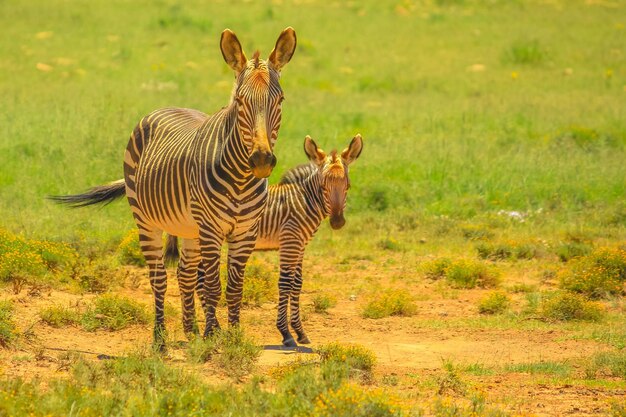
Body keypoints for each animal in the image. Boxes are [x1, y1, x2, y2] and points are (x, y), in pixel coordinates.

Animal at [47, 27, 296, 350]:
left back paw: (191, 332)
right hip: (147, 220)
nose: (262, 160)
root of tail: (166, 106)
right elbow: (213, 285)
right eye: (240, 101)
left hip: (189, 227)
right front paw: (212, 337)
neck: (241, 178)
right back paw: (160, 338)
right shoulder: (211, 228)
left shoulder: (246, 231)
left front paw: (232, 336)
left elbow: (234, 287)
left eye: (280, 100)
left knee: (185, 274)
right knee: (159, 278)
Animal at [166, 132, 360, 344]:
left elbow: (297, 283)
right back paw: (209, 329)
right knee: (194, 276)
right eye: (324, 186)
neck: (304, 200)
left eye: (348, 186)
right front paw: (286, 333)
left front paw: (300, 332)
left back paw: (210, 328)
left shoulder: (301, 245)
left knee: (190, 274)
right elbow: (285, 283)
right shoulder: (290, 241)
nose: (337, 222)